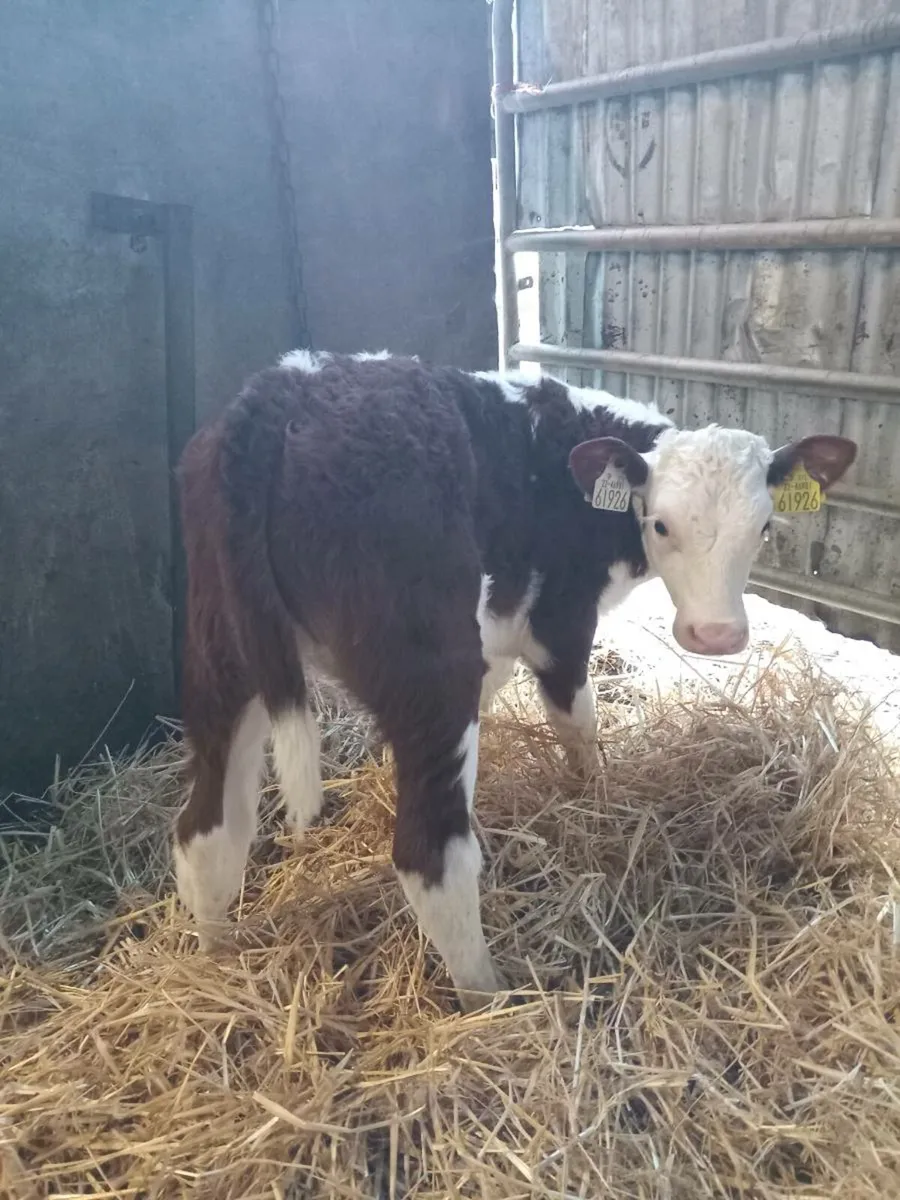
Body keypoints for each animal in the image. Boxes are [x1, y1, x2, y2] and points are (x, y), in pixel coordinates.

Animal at [173, 348, 856, 1011]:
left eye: (763, 527)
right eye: (661, 524)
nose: (714, 635)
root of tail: (283, 390)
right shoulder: (560, 623)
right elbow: (578, 726)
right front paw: (594, 798)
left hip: (223, 655)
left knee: (208, 830)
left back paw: (217, 959)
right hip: (429, 669)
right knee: (432, 856)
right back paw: (491, 999)